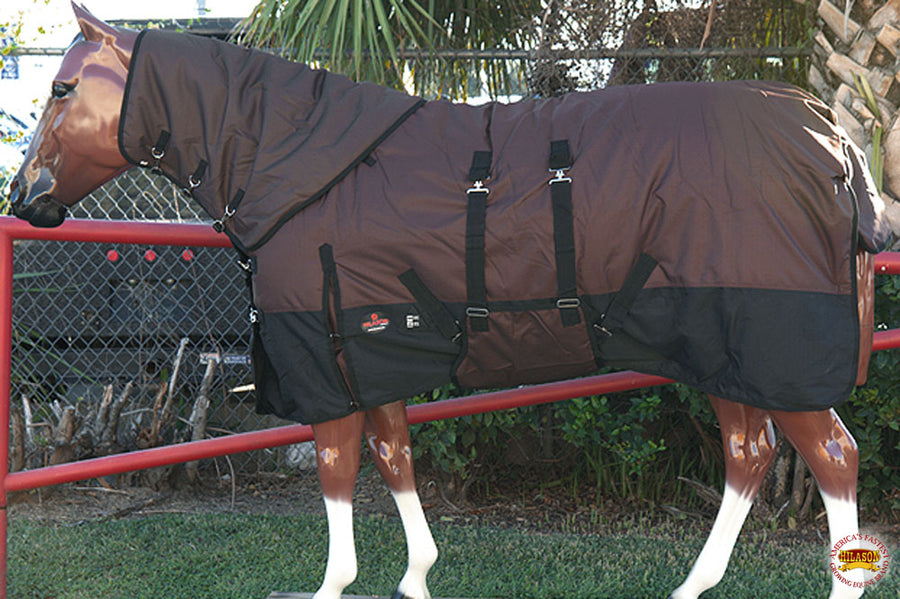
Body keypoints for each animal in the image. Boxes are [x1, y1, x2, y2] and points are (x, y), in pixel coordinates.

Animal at [7, 5, 883, 599]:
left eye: (63, 87)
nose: (27, 198)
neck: (296, 160)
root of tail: (831, 134)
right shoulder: (371, 355)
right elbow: (394, 457)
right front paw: (416, 574)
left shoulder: (328, 362)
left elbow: (337, 470)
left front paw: (335, 581)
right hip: (723, 350)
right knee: (750, 453)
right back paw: (693, 583)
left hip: (771, 349)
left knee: (834, 456)